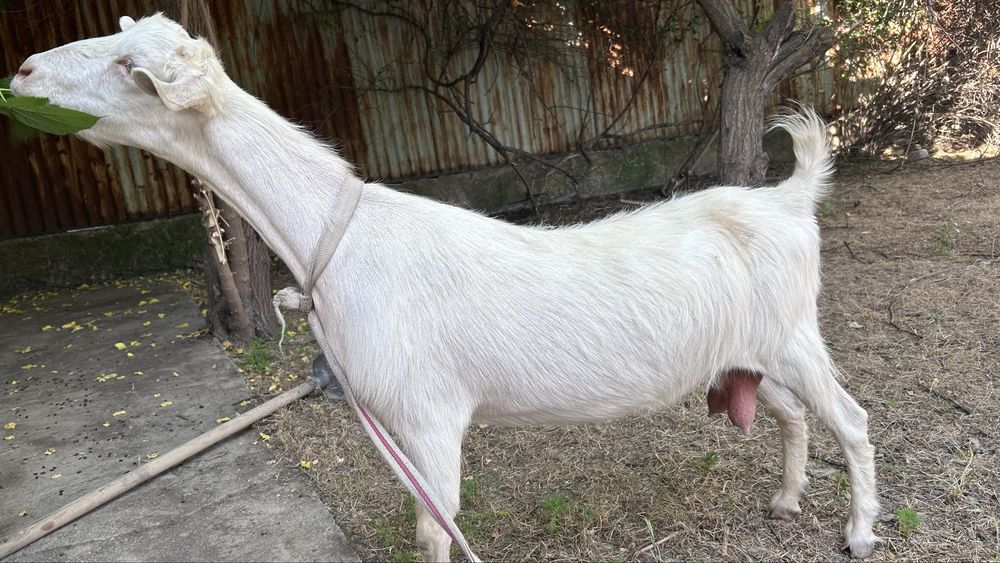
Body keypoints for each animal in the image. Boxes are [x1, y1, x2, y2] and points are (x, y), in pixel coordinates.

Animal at [11, 14, 879, 561]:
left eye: (131, 68)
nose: (20, 70)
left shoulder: (429, 415)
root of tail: (788, 198)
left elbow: (436, 531)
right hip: (746, 352)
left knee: (851, 419)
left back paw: (860, 530)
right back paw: (787, 500)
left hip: (793, 333)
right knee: (793, 414)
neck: (340, 237)